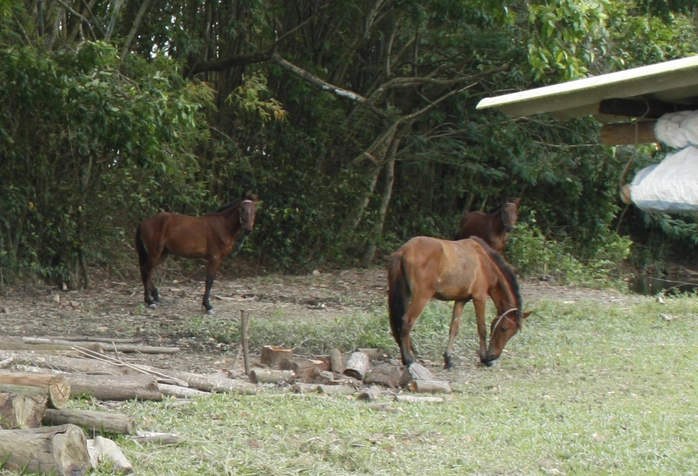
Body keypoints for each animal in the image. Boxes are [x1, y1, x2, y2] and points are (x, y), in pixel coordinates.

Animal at [386, 236, 528, 366]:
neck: (485, 263)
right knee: (407, 321)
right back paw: (408, 359)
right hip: (421, 296)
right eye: (504, 328)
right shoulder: (480, 297)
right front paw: (483, 358)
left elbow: (454, 328)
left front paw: (448, 359)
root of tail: (405, 249)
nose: (493, 356)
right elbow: (482, 329)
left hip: (405, 292)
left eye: (513, 332)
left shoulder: (461, 300)